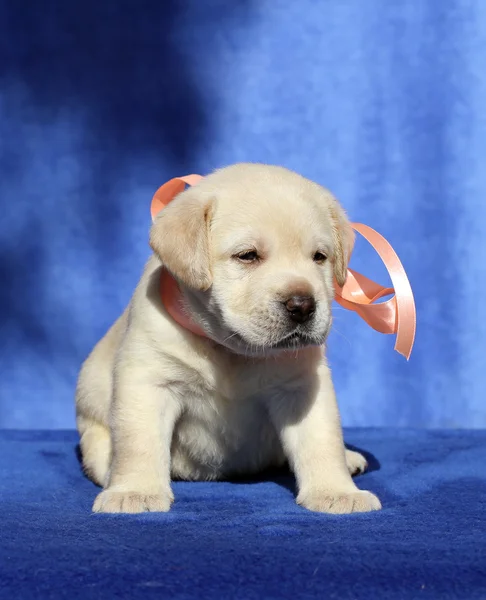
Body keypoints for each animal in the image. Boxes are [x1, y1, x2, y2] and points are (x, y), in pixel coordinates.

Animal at [76, 164, 382, 516]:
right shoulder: (149, 380)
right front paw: (135, 491)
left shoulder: (302, 386)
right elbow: (138, 443)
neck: (231, 350)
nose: (303, 305)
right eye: (247, 256)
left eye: (319, 257)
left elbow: (322, 440)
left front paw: (336, 491)